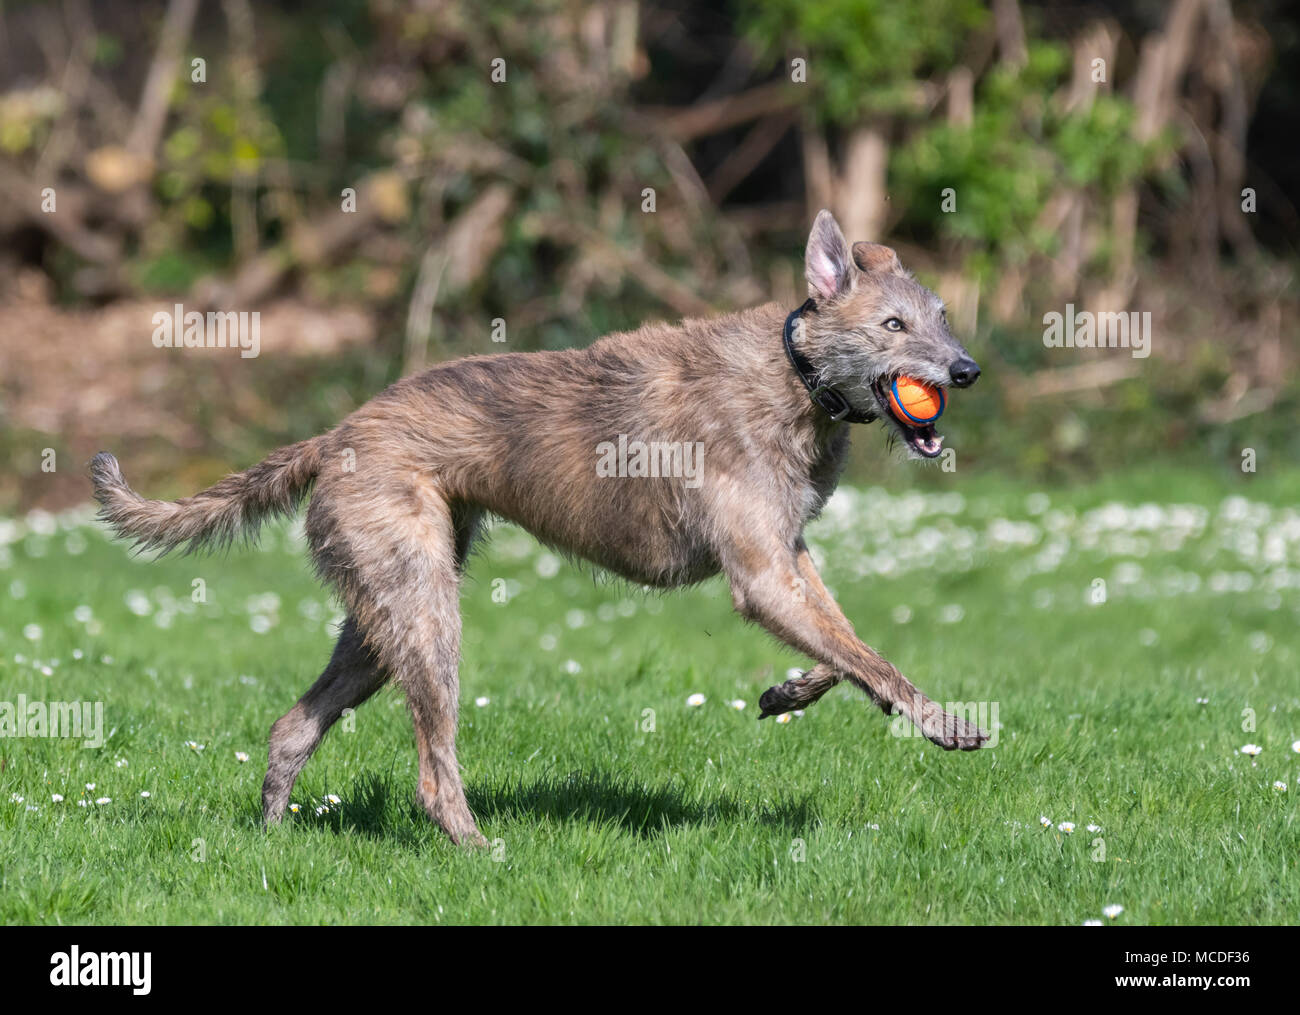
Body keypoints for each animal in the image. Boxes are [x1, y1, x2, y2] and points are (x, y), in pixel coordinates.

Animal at [89, 209, 982, 842]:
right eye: (894, 325)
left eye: (941, 314)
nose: (967, 369)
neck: (793, 375)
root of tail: (334, 434)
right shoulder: (759, 573)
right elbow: (872, 658)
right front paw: (943, 722)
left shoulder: (787, 554)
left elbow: (847, 648)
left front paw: (789, 690)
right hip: (425, 612)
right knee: (431, 765)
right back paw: (477, 845)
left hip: (382, 613)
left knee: (293, 723)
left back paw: (273, 832)